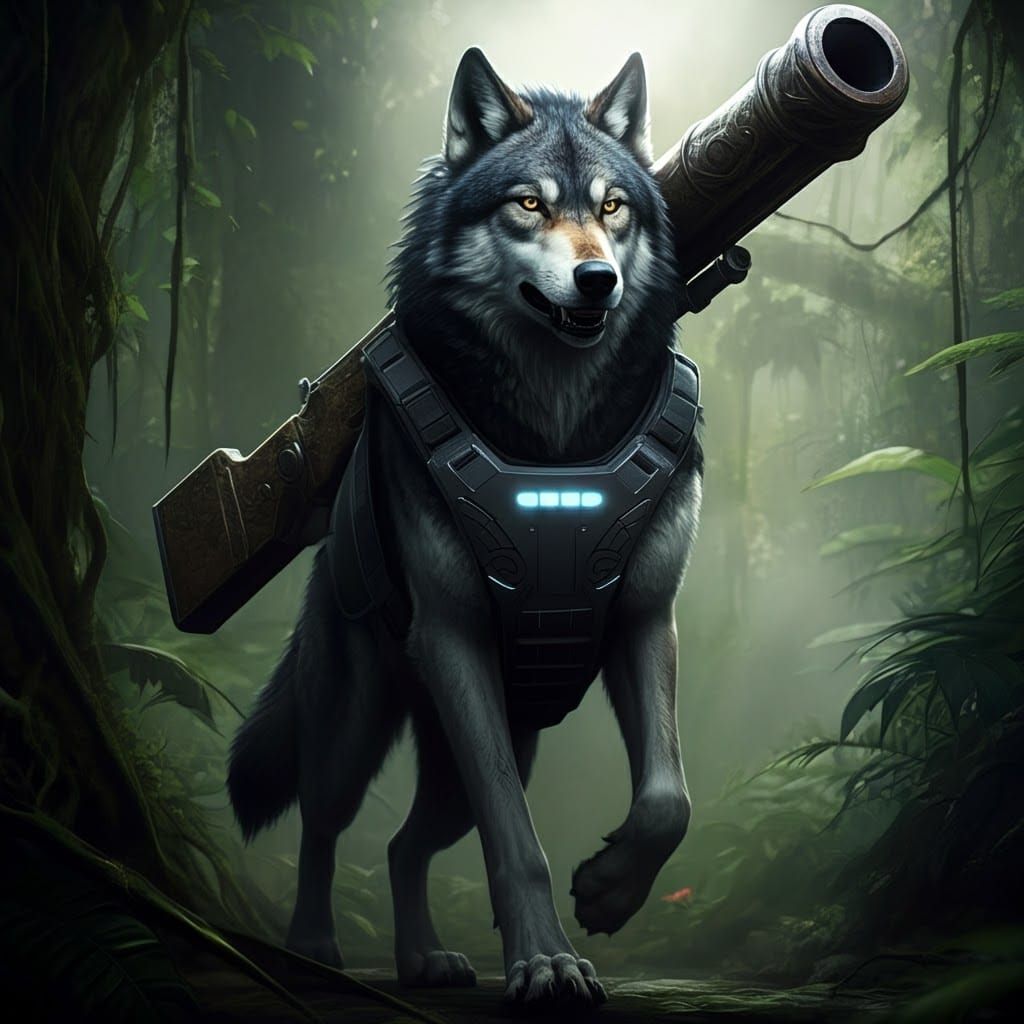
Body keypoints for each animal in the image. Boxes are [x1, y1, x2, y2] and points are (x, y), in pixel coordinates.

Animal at [228, 46, 702, 1008]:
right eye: (528, 204)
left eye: (613, 208)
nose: (599, 280)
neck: (556, 441)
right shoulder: (453, 640)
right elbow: (516, 839)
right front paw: (546, 963)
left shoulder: (645, 621)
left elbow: (668, 800)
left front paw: (610, 891)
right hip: (357, 727)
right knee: (324, 827)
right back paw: (314, 948)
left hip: (486, 751)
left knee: (405, 845)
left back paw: (425, 959)